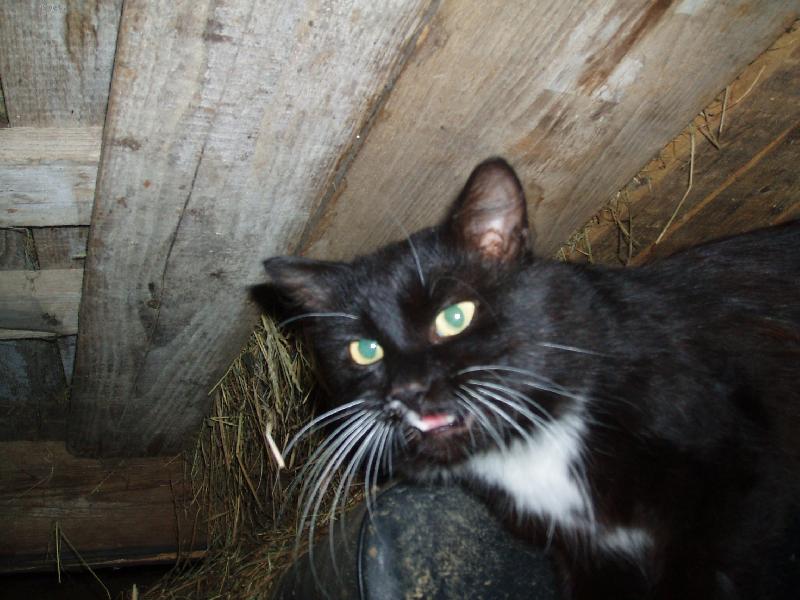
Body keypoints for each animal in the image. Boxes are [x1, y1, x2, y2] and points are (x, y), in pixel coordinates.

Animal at [258, 158, 800, 599]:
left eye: (454, 317)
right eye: (364, 350)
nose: (406, 390)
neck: (536, 440)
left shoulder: (739, 486)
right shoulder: (590, 557)